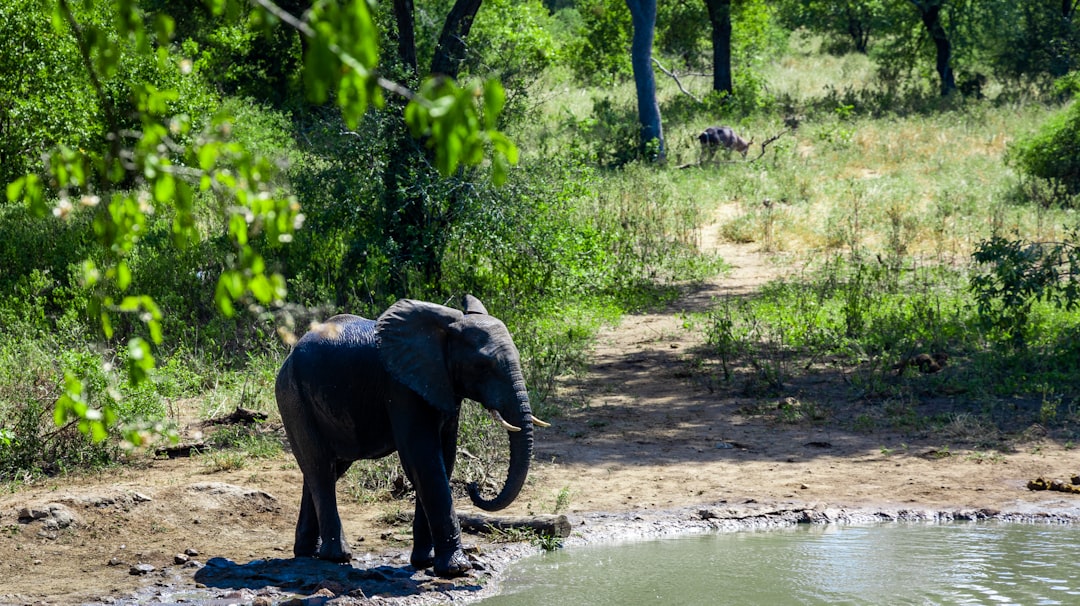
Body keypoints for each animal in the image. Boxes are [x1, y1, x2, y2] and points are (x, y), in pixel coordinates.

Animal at [274, 295, 546, 578]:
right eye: (483, 365)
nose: (474, 487)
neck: (445, 329)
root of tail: (289, 355)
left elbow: (444, 458)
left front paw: (426, 563)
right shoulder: (401, 387)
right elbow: (423, 459)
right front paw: (457, 569)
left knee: (325, 468)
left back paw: (308, 552)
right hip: (293, 397)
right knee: (320, 468)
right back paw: (337, 556)